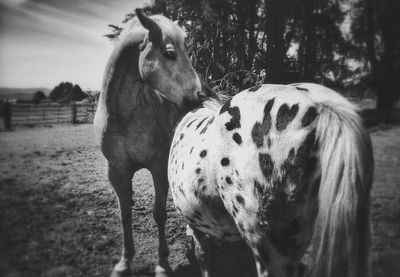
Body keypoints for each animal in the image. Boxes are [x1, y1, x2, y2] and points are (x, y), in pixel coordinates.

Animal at [93, 9, 203, 274]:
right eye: (169, 53)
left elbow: (159, 214)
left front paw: (162, 263)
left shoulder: (158, 166)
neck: (125, 115)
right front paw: (125, 262)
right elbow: (125, 214)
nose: (198, 95)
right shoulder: (116, 171)